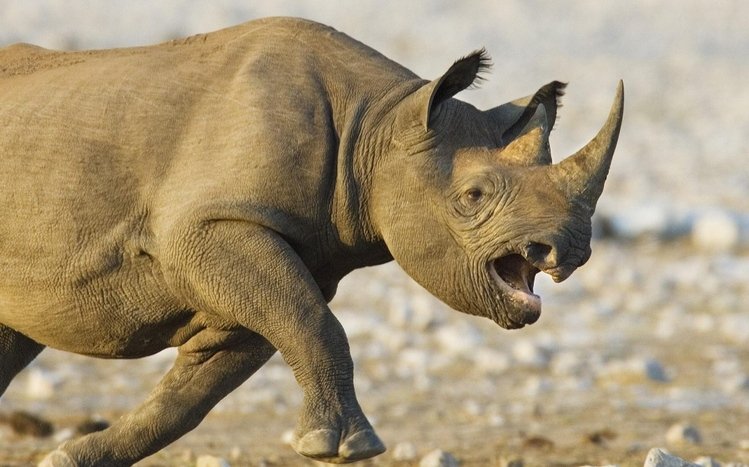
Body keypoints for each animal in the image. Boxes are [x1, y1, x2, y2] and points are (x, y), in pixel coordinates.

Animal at [0, 17, 623, 466]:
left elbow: (195, 390)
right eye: (472, 196)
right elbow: (315, 325)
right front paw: (345, 448)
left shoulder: (274, 258)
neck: (378, 127)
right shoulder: (211, 228)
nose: (567, 251)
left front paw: (69, 459)